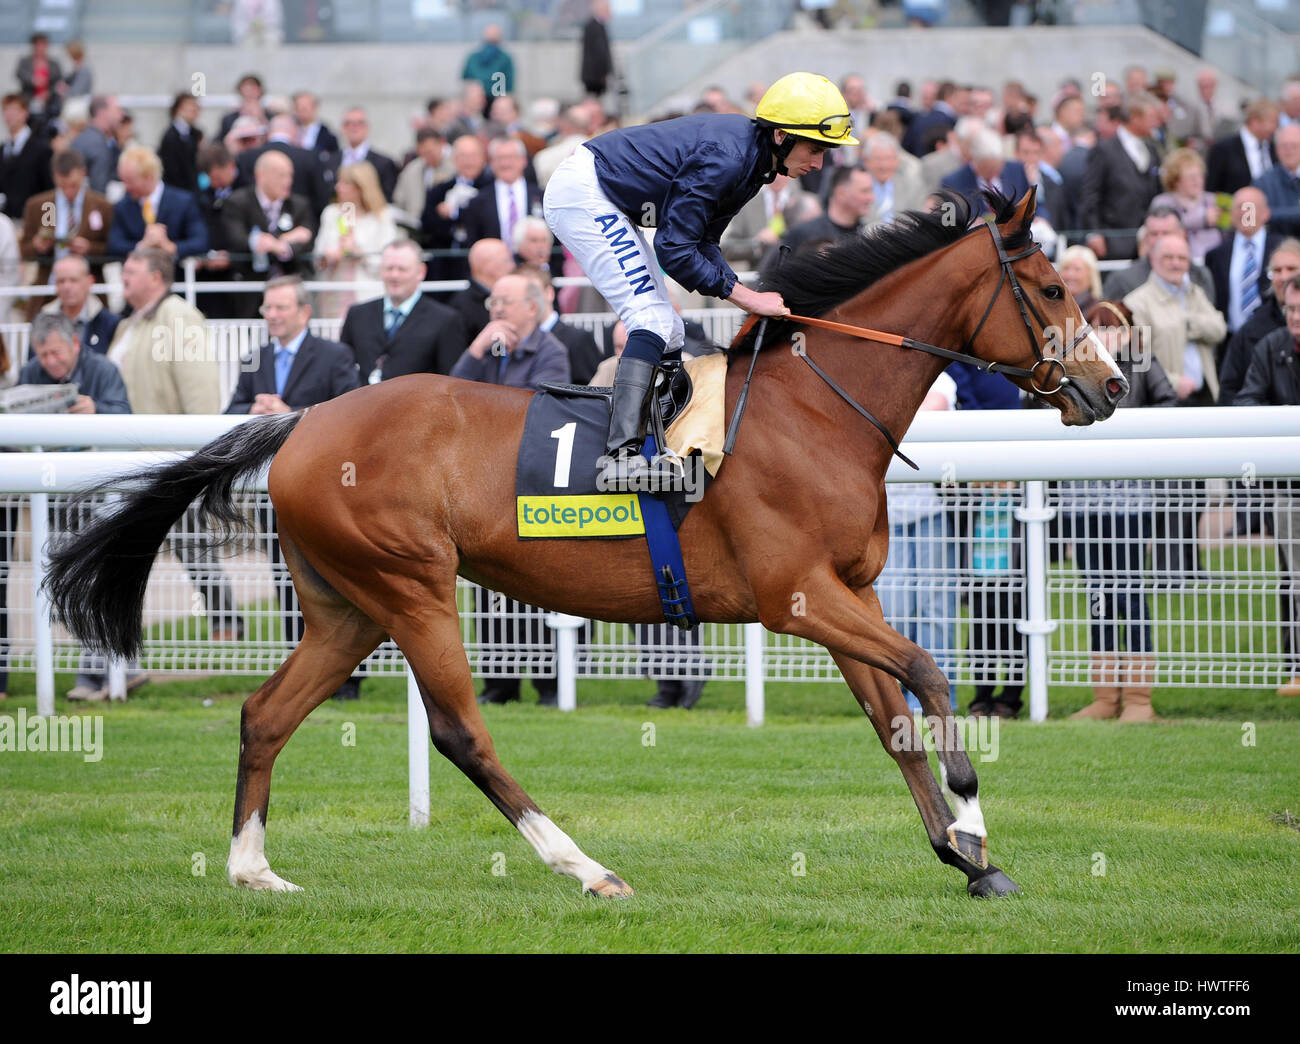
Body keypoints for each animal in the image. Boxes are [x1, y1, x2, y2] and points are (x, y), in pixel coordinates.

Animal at [45, 192, 1128, 904]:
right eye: (1045, 286)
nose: (1111, 386)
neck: (819, 410)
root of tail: (304, 422)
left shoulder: (839, 598)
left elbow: (892, 713)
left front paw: (966, 859)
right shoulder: (797, 597)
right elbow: (930, 678)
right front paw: (975, 830)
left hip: (348, 605)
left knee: (266, 714)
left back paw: (252, 868)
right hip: (411, 586)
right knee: (459, 732)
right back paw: (586, 867)